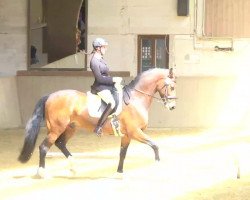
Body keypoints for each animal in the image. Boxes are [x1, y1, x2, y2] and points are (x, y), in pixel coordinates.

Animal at [18, 67, 177, 177]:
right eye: (172, 86)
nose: (172, 107)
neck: (135, 98)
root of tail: (50, 95)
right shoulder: (135, 132)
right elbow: (155, 145)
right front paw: (157, 164)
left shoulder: (127, 135)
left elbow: (122, 153)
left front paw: (119, 173)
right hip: (56, 129)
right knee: (44, 147)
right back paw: (42, 172)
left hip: (70, 128)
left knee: (60, 144)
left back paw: (74, 167)